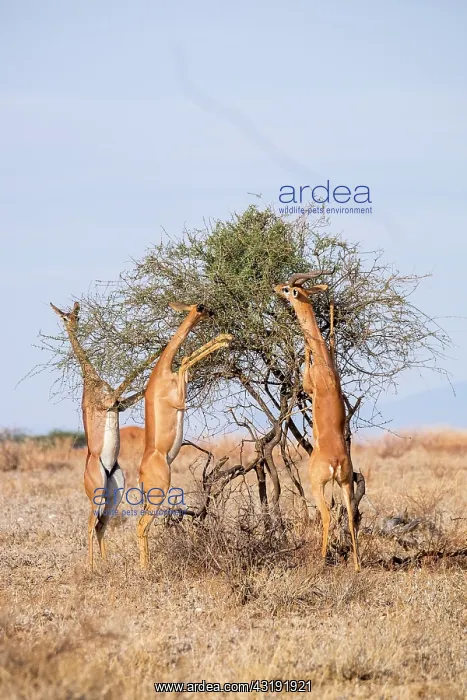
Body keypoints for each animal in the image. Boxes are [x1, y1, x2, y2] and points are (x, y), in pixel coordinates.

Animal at [137, 302, 232, 568]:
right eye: (201, 308)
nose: (212, 312)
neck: (161, 373)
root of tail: (141, 472)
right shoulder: (180, 399)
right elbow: (185, 362)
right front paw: (225, 340)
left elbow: (186, 359)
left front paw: (225, 338)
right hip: (159, 493)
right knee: (141, 525)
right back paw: (145, 569)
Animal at [274, 272, 360, 571]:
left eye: (287, 289)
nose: (274, 287)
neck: (324, 363)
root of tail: (335, 462)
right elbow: (331, 335)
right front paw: (332, 307)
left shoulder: (307, 387)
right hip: (345, 483)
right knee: (350, 515)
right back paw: (357, 565)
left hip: (317, 485)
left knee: (325, 515)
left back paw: (321, 560)